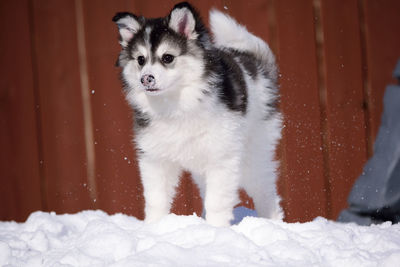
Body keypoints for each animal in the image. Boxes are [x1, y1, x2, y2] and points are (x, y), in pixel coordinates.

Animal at [111, 1, 282, 228]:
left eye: (167, 58)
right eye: (140, 60)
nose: (146, 78)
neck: (176, 104)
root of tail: (252, 62)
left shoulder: (221, 158)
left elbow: (217, 201)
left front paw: (216, 230)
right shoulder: (155, 159)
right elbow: (156, 199)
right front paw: (154, 228)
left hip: (252, 153)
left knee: (265, 190)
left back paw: (273, 223)